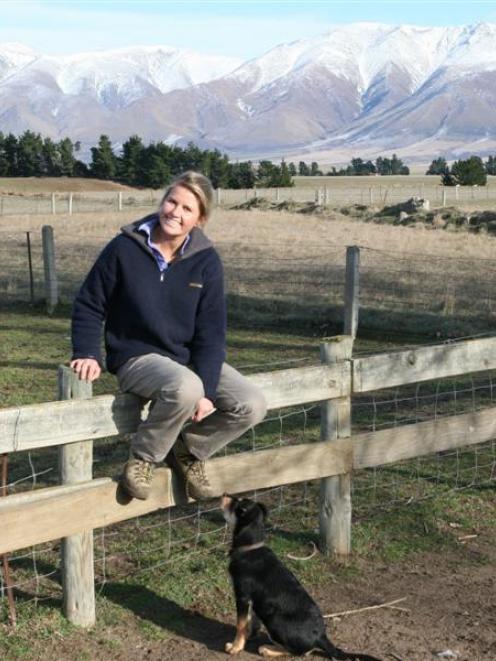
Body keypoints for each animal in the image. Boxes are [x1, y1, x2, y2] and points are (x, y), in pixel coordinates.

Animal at [222, 492, 384, 656]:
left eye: (236, 504)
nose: (224, 494)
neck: (250, 548)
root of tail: (320, 637)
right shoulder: (253, 601)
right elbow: (251, 621)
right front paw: (247, 637)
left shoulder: (242, 596)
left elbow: (240, 624)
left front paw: (235, 647)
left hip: (275, 620)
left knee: (295, 651)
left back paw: (267, 649)